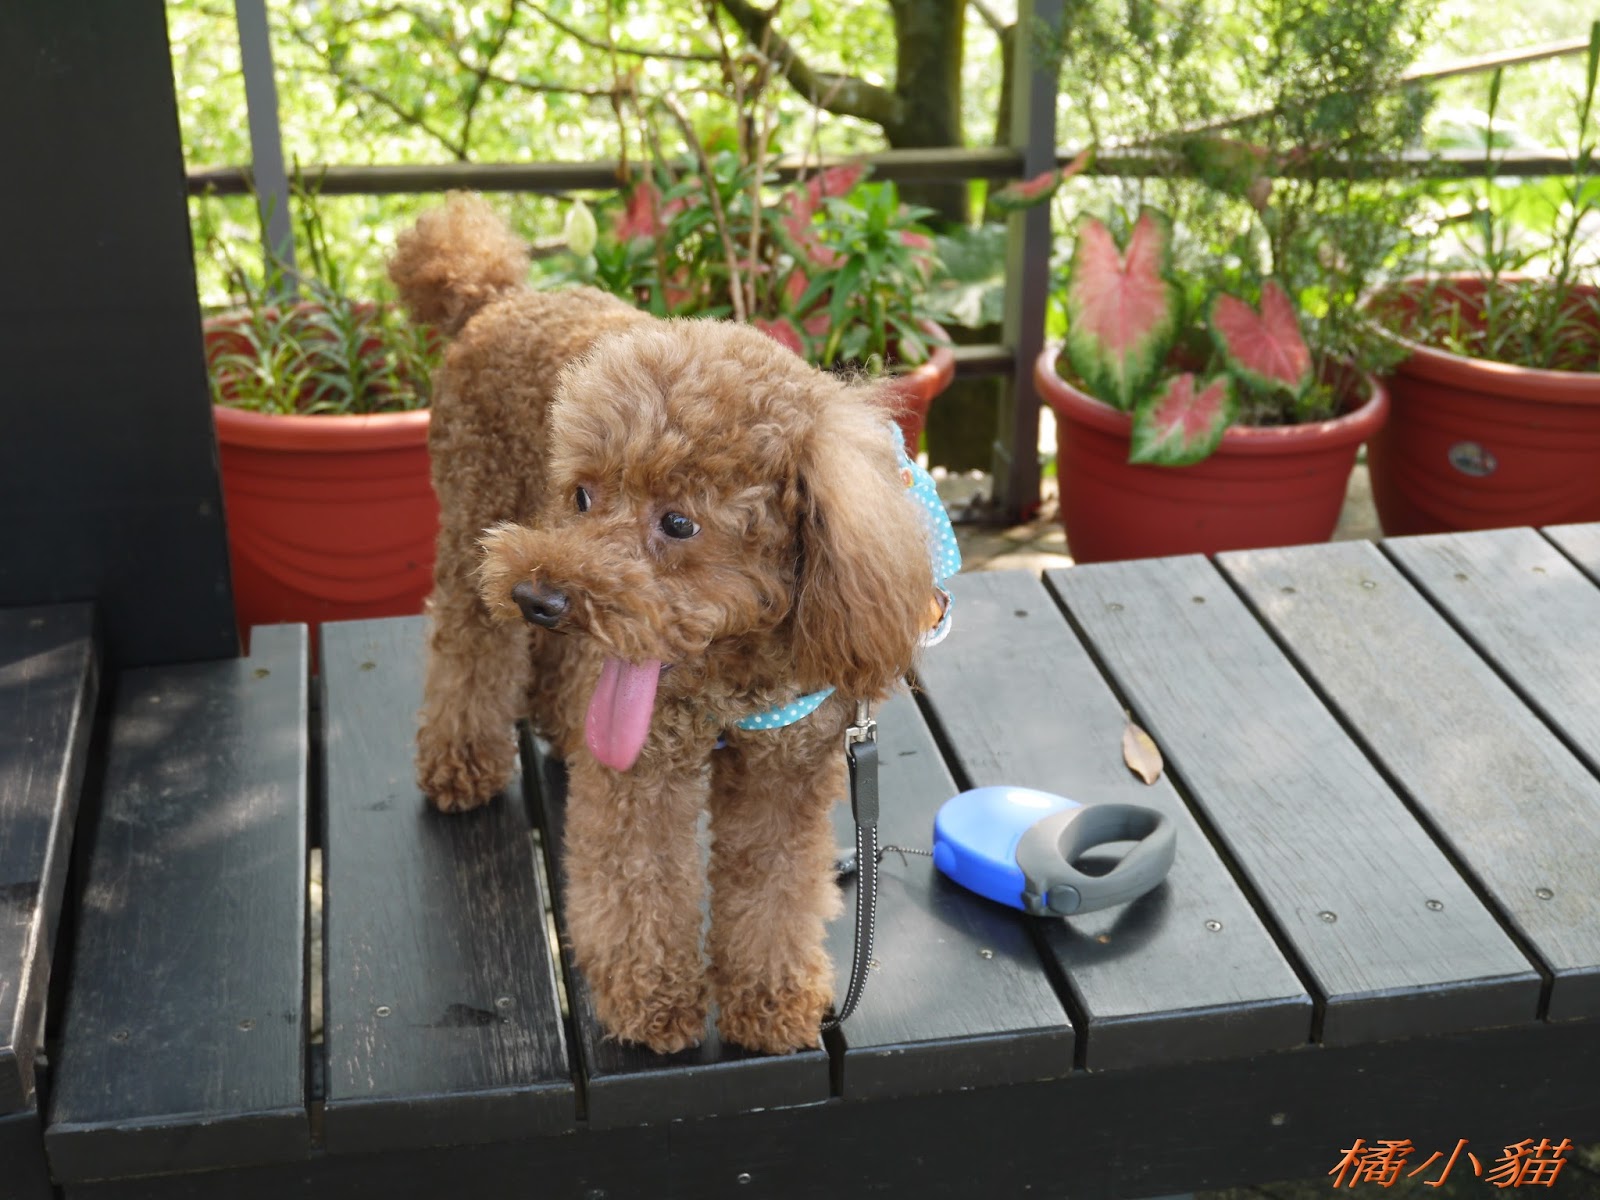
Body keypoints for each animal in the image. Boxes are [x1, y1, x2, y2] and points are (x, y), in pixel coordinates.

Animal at [390, 193, 947, 1054]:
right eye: (584, 495)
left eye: (679, 524)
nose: (541, 597)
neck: (732, 677)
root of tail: (495, 296)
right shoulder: (645, 767)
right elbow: (639, 882)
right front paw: (653, 1004)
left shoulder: (786, 772)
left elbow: (774, 890)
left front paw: (769, 1000)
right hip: (475, 531)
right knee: (468, 650)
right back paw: (461, 765)